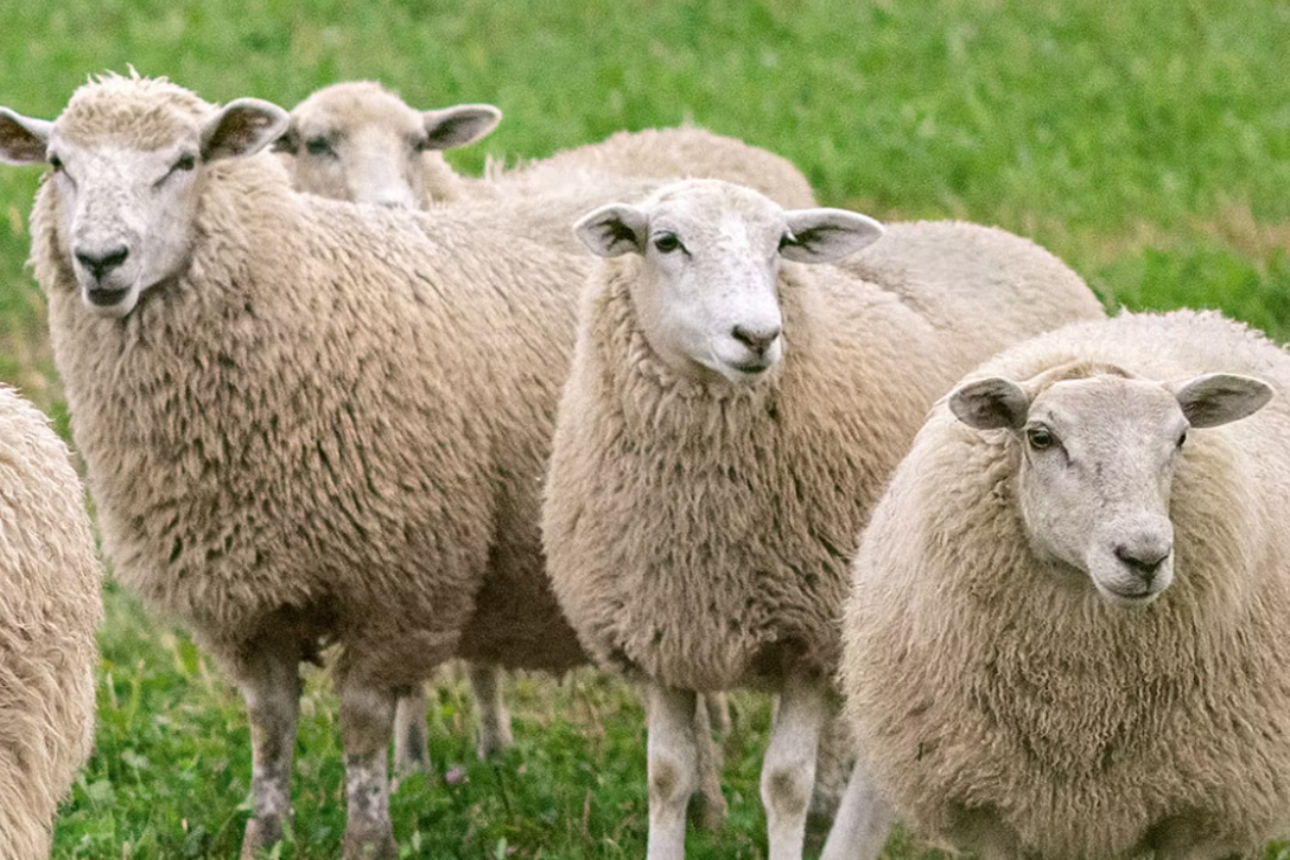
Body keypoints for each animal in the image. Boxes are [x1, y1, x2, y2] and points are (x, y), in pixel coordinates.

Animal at [0, 72, 616, 859]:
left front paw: (367, 838)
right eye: (58, 164)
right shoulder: (241, 597)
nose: (101, 259)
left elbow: (361, 725)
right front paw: (264, 836)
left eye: (185, 162)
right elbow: (270, 725)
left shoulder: (403, 581)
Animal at [541, 178, 1104, 859]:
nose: (758, 336)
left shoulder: (809, 637)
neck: (702, 522)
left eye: (781, 245)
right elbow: (667, 777)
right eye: (666, 242)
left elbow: (786, 783)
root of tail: (996, 234)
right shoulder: (659, 634)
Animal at [840, 309, 1290, 859]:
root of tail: (1196, 316)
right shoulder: (995, 811)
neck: (1079, 697)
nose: (1144, 556)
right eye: (1040, 437)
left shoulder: (1199, 813)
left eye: (1182, 438)